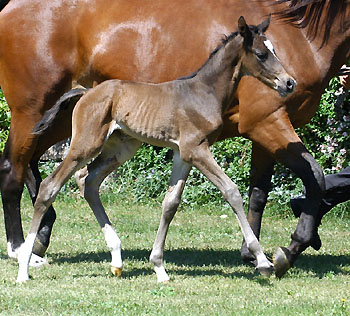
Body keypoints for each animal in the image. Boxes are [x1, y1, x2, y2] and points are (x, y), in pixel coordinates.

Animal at [17, 16, 296, 282]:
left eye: (274, 49)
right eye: (261, 53)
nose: (289, 83)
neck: (204, 92)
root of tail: (85, 92)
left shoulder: (183, 153)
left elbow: (170, 203)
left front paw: (159, 267)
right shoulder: (197, 149)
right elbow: (231, 191)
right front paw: (262, 261)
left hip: (121, 148)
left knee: (89, 180)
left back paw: (117, 260)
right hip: (85, 144)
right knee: (50, 186)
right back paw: (24, 266)